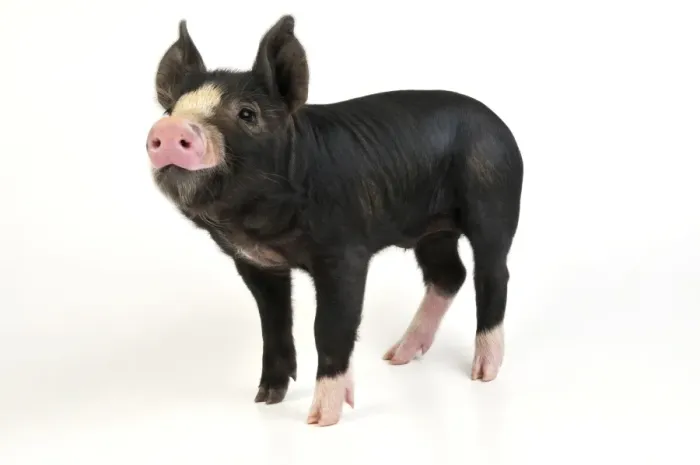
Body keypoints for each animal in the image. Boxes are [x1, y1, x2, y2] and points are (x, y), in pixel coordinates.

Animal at [146, 15, 524, 427]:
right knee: (449, 274)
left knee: (493, 274)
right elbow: (273, 323)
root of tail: (500, 124)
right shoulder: (254, 263)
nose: (170, 129)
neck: (260, 224)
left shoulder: (345, 254)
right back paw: (397, 356)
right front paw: (266, 399)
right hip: (432, 231)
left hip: (494, 198)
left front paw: (320, 419)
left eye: (247, 114)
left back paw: (482, 372)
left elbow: (329, 326)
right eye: (171, 111)